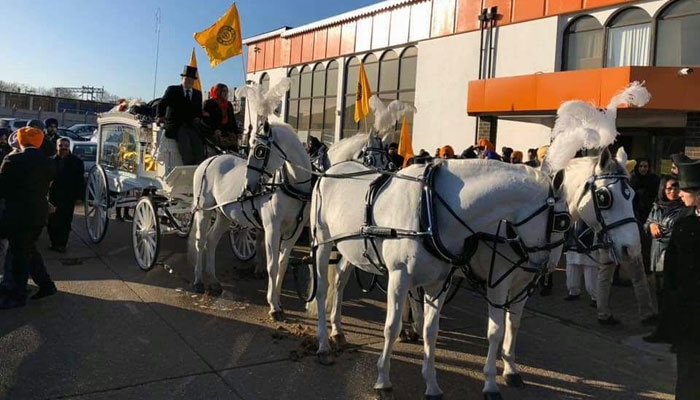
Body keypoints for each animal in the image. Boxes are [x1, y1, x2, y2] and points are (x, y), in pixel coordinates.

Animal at [312, 159, 568, 396]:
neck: (430, 207)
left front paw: (432, 384)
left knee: (340, 281)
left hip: (350, 250)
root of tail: (332, 168)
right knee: (322, 289)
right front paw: (383, 380)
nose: (548, 266)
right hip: (322, 243)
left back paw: (338, 331)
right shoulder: (400, 277)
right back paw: (323, 345)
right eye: (562, 221)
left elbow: (432, 330)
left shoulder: (440, 282)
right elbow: (391, 328)